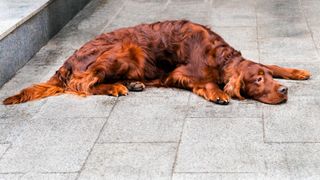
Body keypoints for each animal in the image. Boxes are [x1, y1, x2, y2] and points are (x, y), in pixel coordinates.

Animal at [3, 20, 312, 105]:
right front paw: (218, 93)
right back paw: (117, 87)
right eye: (256, 80)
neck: (218, 55)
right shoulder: (182, 72)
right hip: (125, 48)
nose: (283, 91)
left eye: (267, 78)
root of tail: (68, 60)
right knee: (83, 85)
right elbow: (207, 81)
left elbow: (273, 63)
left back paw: (132, 83)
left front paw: (296, 71)